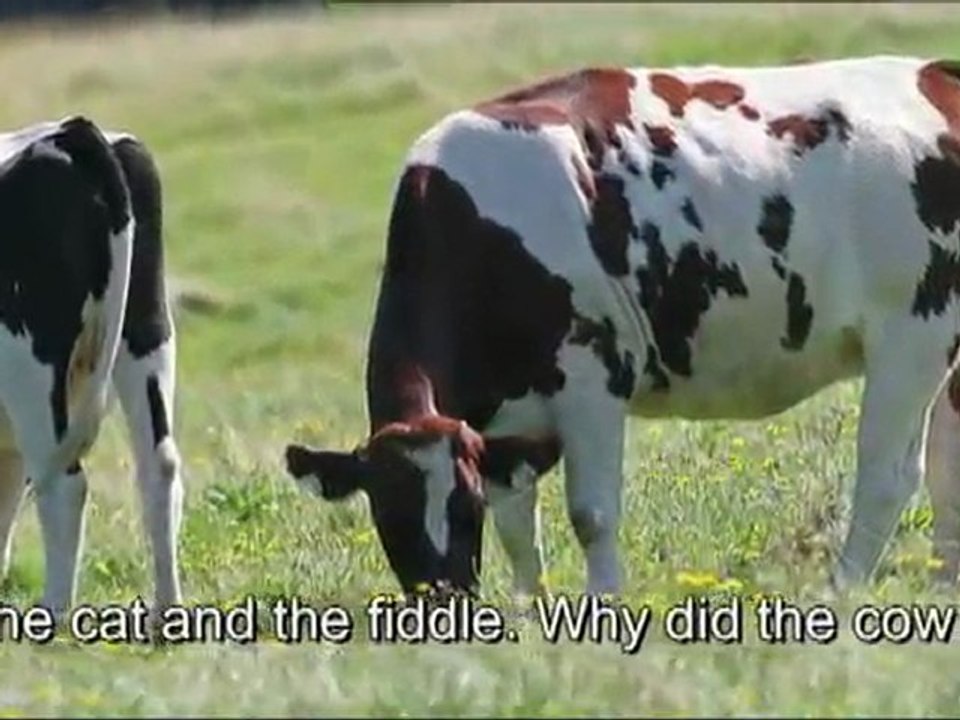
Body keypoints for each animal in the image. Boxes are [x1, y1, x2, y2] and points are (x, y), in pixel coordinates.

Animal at [0, 116, 183, 619]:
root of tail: (72, 130)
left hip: (32, 371)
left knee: (64, 486)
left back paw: (52, 616)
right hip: (146, 331)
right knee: (159, 465)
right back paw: (166, 613)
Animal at [284, 56, 960, 601]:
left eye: (463, 509)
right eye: (389, 514)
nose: (444, 603)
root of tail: (936, 71)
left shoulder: (592, 377)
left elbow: (591, 514)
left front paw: (602, 604)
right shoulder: (501, 424)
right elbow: (517, 523)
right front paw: (528, 609)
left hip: (912, 335)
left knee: (887, 476)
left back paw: (839, 591)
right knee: (946, 462)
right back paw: (944, 586)